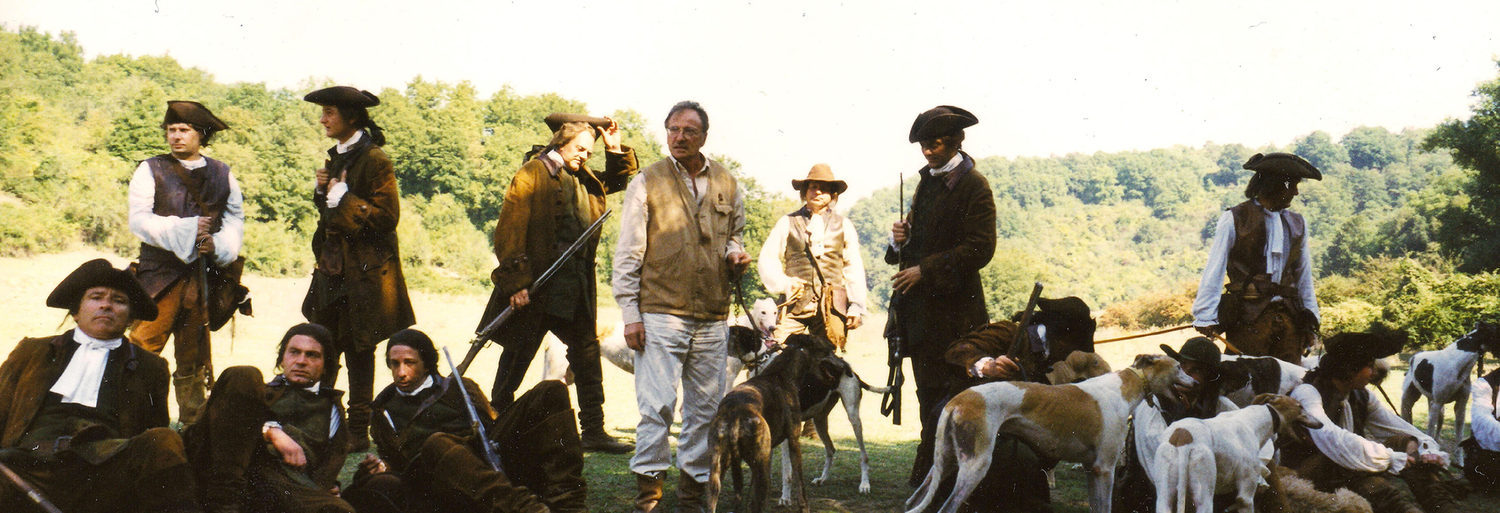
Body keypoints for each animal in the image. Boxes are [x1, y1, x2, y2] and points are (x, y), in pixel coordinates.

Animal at [705, 333, 840, 513]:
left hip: (717, 472)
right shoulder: (793, 442)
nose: (841, 360)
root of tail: (735, 417)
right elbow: (799, 483)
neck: (781, 373)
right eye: (827, 348)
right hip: (760, 469)